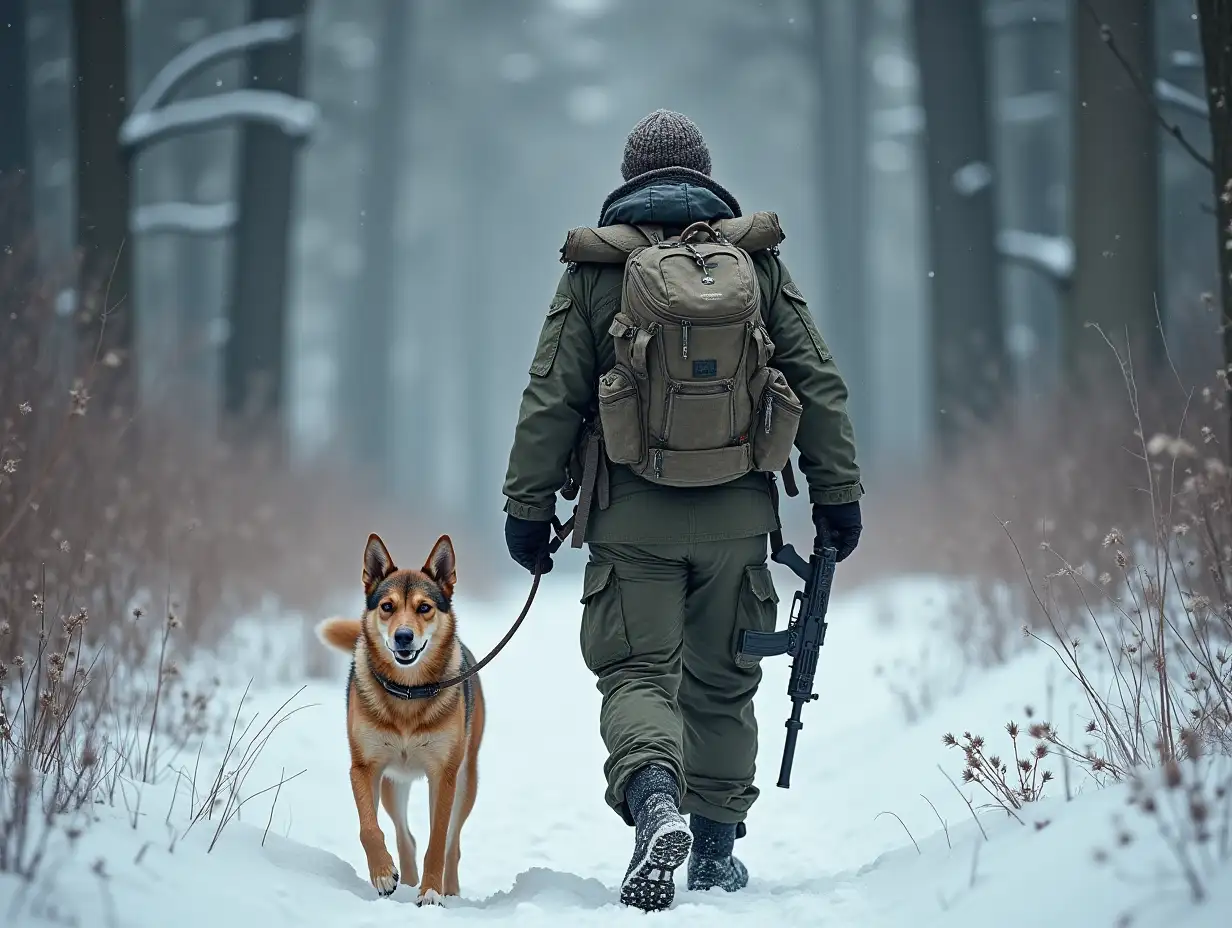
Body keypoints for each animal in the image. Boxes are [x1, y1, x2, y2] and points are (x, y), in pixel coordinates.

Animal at [315, 532, 482, 902]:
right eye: (387, 606)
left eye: (424, 607)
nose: (403, 636)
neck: (407, 693)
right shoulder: (364, 767)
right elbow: (368, 828)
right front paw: (382, 874)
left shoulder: (444, 776)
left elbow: (438, 840)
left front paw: (431, 892)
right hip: (394, 783)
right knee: (407, 838)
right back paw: (403, 879)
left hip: (467, 779)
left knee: (452, 844)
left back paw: (448, 890)